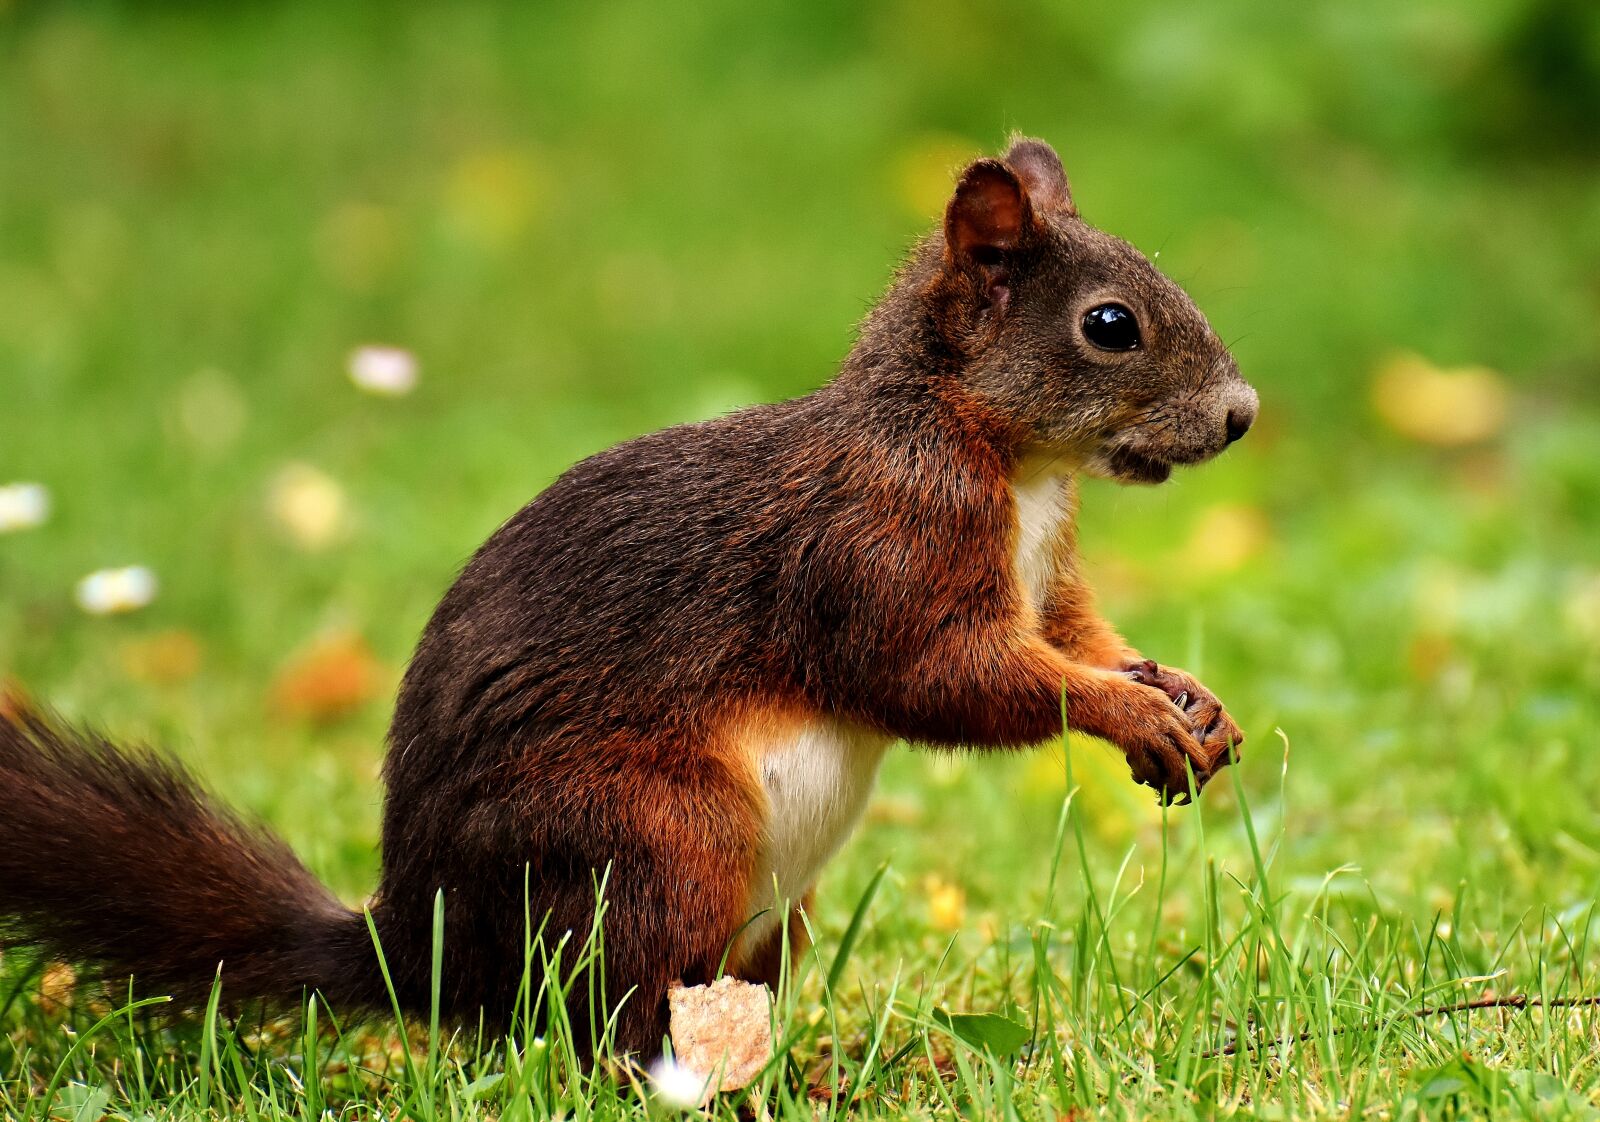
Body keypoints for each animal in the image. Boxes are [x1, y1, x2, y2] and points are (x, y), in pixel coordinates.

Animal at [0, 137, 1256, 1060]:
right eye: (1109, 325)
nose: (1242, 415)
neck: (1013, 465)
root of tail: (428, 952)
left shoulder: (1048, 581)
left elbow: (1074, 636)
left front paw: (1182, 695)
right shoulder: (876, 552)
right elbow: (945, 678)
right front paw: (1128, 713)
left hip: (767, 911)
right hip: (655, 840)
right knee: (598, 1015)